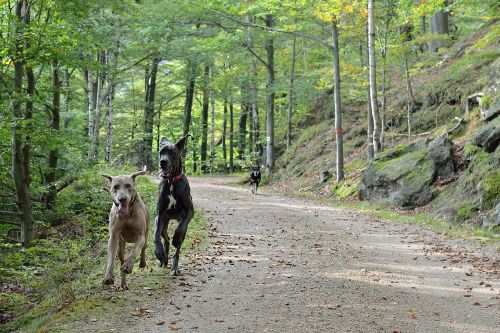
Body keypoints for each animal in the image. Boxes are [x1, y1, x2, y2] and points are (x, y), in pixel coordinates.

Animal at [153, 134, 194, 274]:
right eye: (161, 152)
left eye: (172, 153)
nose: (163, 162)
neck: (171, 182)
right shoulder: (160, 214)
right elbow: (156, 235)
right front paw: (159, 253)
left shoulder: (189, 211)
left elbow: (179, 229)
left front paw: (176, 239)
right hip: (163, 222)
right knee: (164, 238)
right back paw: (163, 258)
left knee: (177, 248)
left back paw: (174, 268)